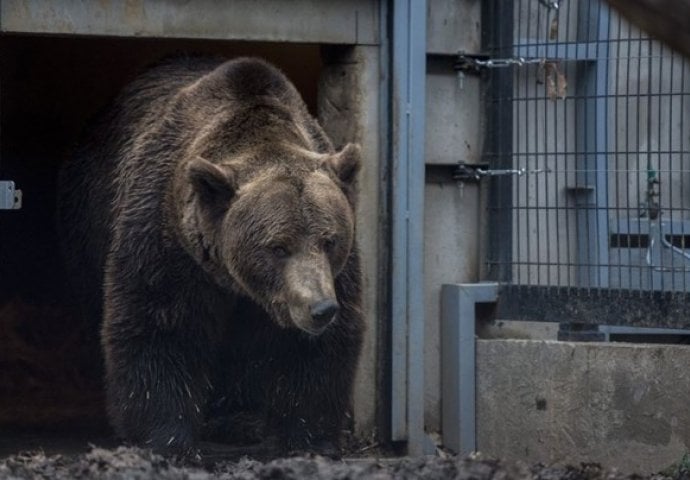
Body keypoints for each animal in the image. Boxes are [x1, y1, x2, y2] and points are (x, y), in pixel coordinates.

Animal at [56, 56, 362, 454]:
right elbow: (162, 325)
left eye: (329, 240)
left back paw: (238, 419)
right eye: (278, 246)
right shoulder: (167, 242)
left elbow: (314, 351)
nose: (319, 308)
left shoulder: (332, 275)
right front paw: (167, 436)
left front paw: (310, 438)